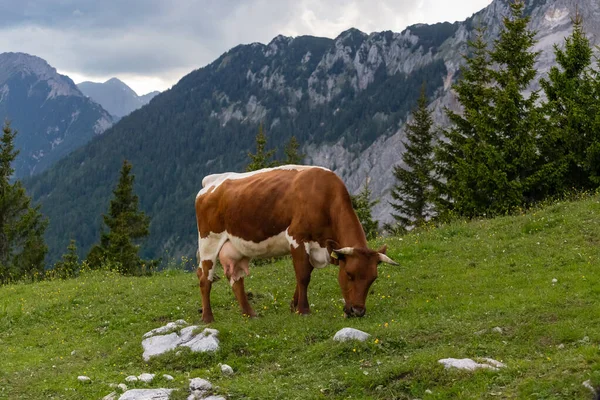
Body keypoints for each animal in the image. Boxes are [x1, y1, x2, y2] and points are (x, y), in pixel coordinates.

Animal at [195, 164, 396, 324]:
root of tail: (212, 181)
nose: (358, 311)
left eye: (373, 278)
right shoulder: (297, 237)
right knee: (205, 278)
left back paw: (250, 314)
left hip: (235, 247)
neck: (325, 196)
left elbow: (305, 273)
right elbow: (303, 275)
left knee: (236, 279)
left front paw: (294, 306)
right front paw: (303, 310)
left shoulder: (317, 247)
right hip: (209, 242)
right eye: (349, 274)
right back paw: (208, 318)